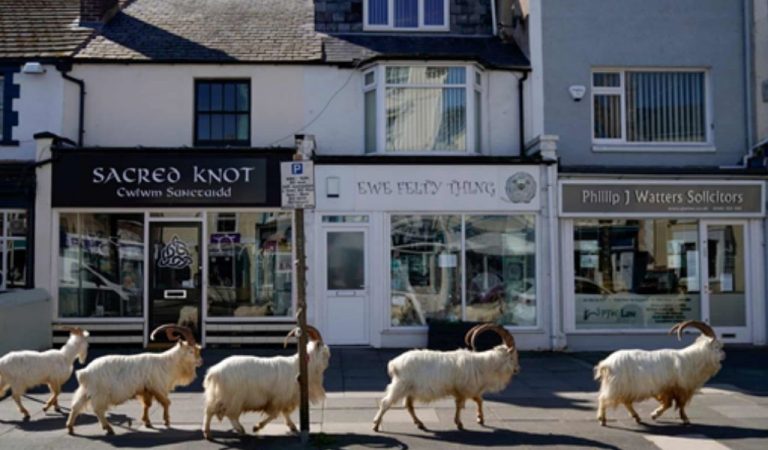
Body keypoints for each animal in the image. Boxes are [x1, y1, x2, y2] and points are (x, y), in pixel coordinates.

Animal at [66, 326, 202, 434]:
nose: (201, 361)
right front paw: (167, 422)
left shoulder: (147, 390)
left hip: (85, 391)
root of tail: (85, 372)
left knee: (76, 406)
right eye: (191, 351)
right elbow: (166, 403)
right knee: (98, 410)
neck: (167, 363)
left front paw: (147, 422)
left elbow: (147, 405)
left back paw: (70, 428)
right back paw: (108, 428)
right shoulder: (158, 387)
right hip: (100, 393)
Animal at [201, 326, 330, 440]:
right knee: (223, 413)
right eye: (324, 350)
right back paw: (230, 430)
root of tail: (214, 371)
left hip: (221, 396)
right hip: (233, 398)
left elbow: (285, 413)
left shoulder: (285, 399)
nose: (328, 359)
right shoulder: (277, 399)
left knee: (211, 410)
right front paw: (256, 427)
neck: (300, 366)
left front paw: (292, 426)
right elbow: (274, 414)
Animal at [370, 324, 520, 432]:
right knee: (385, 403)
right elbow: (468, 403)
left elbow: (474, 401)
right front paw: (462, 423)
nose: (517, 369)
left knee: (408, 405)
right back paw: (376, 425)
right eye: (513, 356)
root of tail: (394, 363)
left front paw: (478, 419)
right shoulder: (466, 389)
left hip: (410, 390)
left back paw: (420, 423)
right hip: (400, 386)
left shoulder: (464, 390)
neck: (483, 364)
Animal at [592, 320, 728, 426]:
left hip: (625, 387)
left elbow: (668, 404)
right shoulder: (679, 388)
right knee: (604, 399)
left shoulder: (668, 388)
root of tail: (606, 363)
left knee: (625, 401)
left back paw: (637, 417)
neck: (691, 359)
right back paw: (602, 419)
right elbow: (680, 405)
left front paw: (654, 415)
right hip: (617, 386)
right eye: (718, 346)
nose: (724, 355)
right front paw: (685, 419)